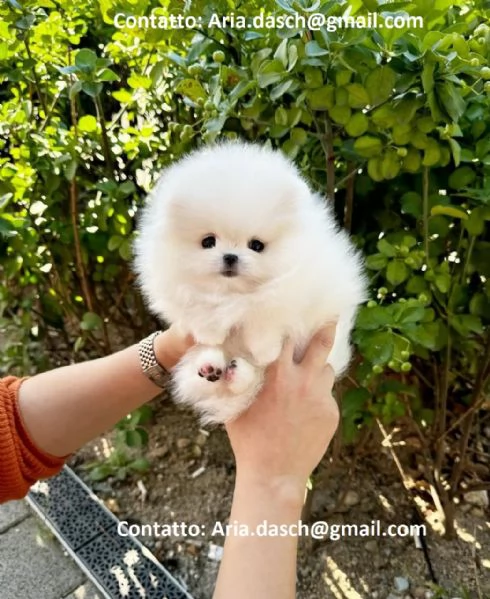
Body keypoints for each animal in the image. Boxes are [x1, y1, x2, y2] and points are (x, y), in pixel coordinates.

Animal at [134, 141, 368, 424]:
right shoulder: (181, 290)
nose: (230, 257)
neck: (234, 295)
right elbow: (202, 314)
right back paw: (212, 367)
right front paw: (210, 334)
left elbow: (262, 321)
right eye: (208, 241)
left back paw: (236, 373)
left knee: (253, 376)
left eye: (256, 245)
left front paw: (264, 350)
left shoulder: (288, 293)